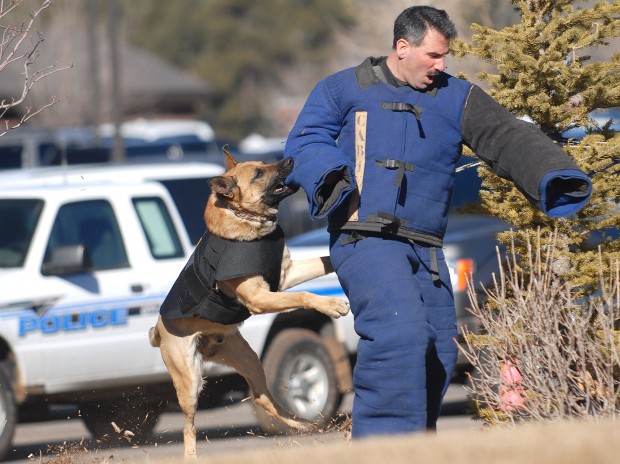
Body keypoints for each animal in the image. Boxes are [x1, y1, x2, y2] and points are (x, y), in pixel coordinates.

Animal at [149, 147, 348, 458]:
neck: (244, 217)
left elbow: (324, 261)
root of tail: (159, 330)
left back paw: (301, 424)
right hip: (189, 381)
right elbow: (303, 296)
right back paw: (192, 456)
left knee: (262, 398)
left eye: (263, 163)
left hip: (249, 359)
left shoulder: (286, 274)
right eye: (258, 173)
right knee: (188, 426)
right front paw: (332, 305)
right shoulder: (260, 297)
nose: (289, 160)